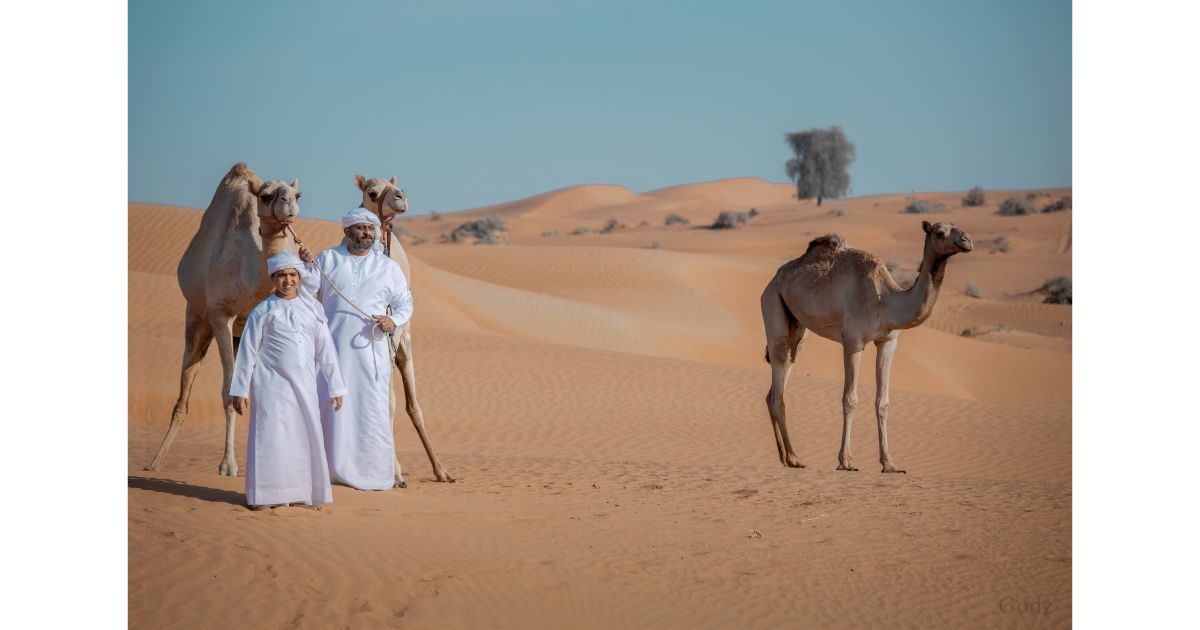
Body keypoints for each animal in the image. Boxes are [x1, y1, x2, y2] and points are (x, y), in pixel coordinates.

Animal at [145, 162, 301, 475]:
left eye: (298, 193)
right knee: (185, 387)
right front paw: (228, 465)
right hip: (196, 316)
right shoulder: (219, 314)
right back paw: (155, 463)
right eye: (265, 196)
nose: (289, 202)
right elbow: (229, 392)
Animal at [350, 174, 454, 486]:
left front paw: (440, 470)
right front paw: (393, 473)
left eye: (396, 185)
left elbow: (410, 406)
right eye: (372, 192)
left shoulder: (401, 341)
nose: (400, 196)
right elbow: (387, 403)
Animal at [760, 220, 973, 473]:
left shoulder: (888, 342)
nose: (967, 240)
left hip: (798, 326)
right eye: (940, 232)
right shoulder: (853, 341)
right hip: (772, 302)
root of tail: (773, 280)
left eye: (957, 227)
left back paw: (786, 457)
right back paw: (794, 458)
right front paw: (846, 461)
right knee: (779, 372)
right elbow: (850, 399)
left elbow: (883, 402)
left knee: (783, 373)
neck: (886, 301)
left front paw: (889, 463)